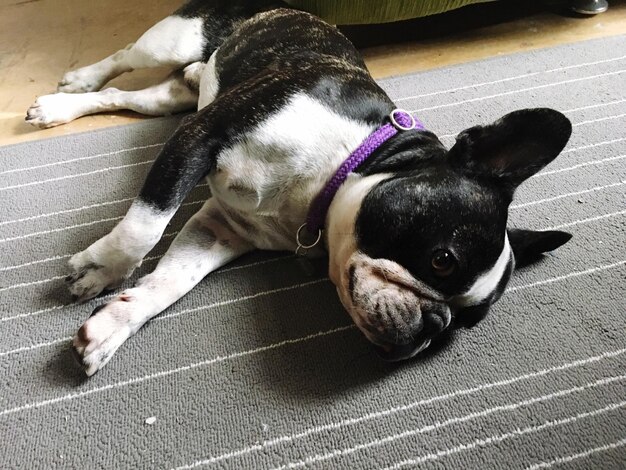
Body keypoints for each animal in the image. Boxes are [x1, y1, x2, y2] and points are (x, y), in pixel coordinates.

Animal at [25, 0, 572, 374]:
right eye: (442, 260)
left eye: (464, 325)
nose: (434, 327)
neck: (338, 168)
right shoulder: (202, 135)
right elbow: (144, 228)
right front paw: (100, 268)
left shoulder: (220, 228)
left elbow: (169, 282)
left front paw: (114, 324)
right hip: (175, 40)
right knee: (121, 60)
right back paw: (73, 85)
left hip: (177, 96)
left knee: (126, 96)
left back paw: (65, 107)